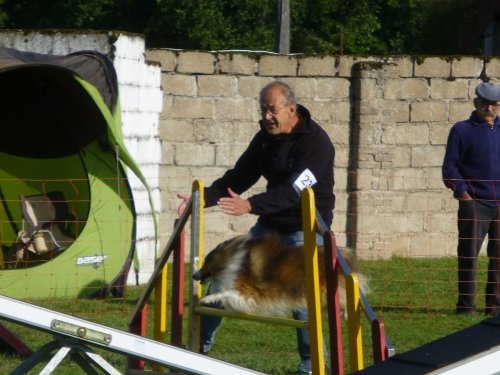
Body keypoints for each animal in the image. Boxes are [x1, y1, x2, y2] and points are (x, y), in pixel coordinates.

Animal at [192, 235, 368, 318]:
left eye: (205, 263)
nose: (193, 275)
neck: (230, 261)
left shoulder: (247, 291)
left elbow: (223, 292)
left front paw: (206, 299)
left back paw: (346, 314)